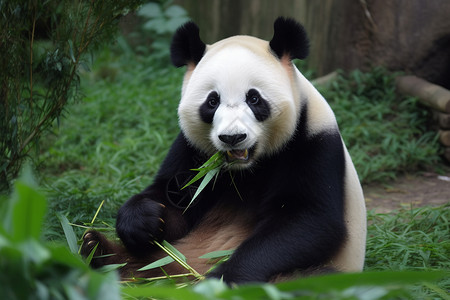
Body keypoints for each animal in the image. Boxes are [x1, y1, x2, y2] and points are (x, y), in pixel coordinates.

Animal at [82, 17, 368, 284]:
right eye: (212, 101)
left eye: (254, 98)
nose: (233, 137)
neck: (246, 169)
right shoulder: (193, 149)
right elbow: (176, 198)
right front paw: (142, 221)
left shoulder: (312, 142)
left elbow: (309, 220)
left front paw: (224, 277)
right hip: (167, 257)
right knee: (144, 263)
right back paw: (97, 250)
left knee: (313, 277)